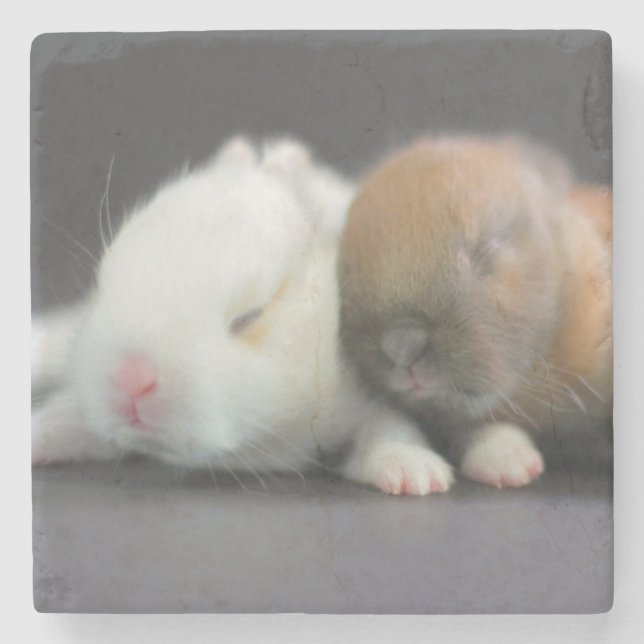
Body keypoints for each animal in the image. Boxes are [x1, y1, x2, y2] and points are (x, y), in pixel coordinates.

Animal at [31, 136, 455, 496]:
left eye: (249, 317)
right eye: (103, 285)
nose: (130, 378)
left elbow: (389, 425)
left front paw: (414, 473)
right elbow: (69, 417)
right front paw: (36, 438)